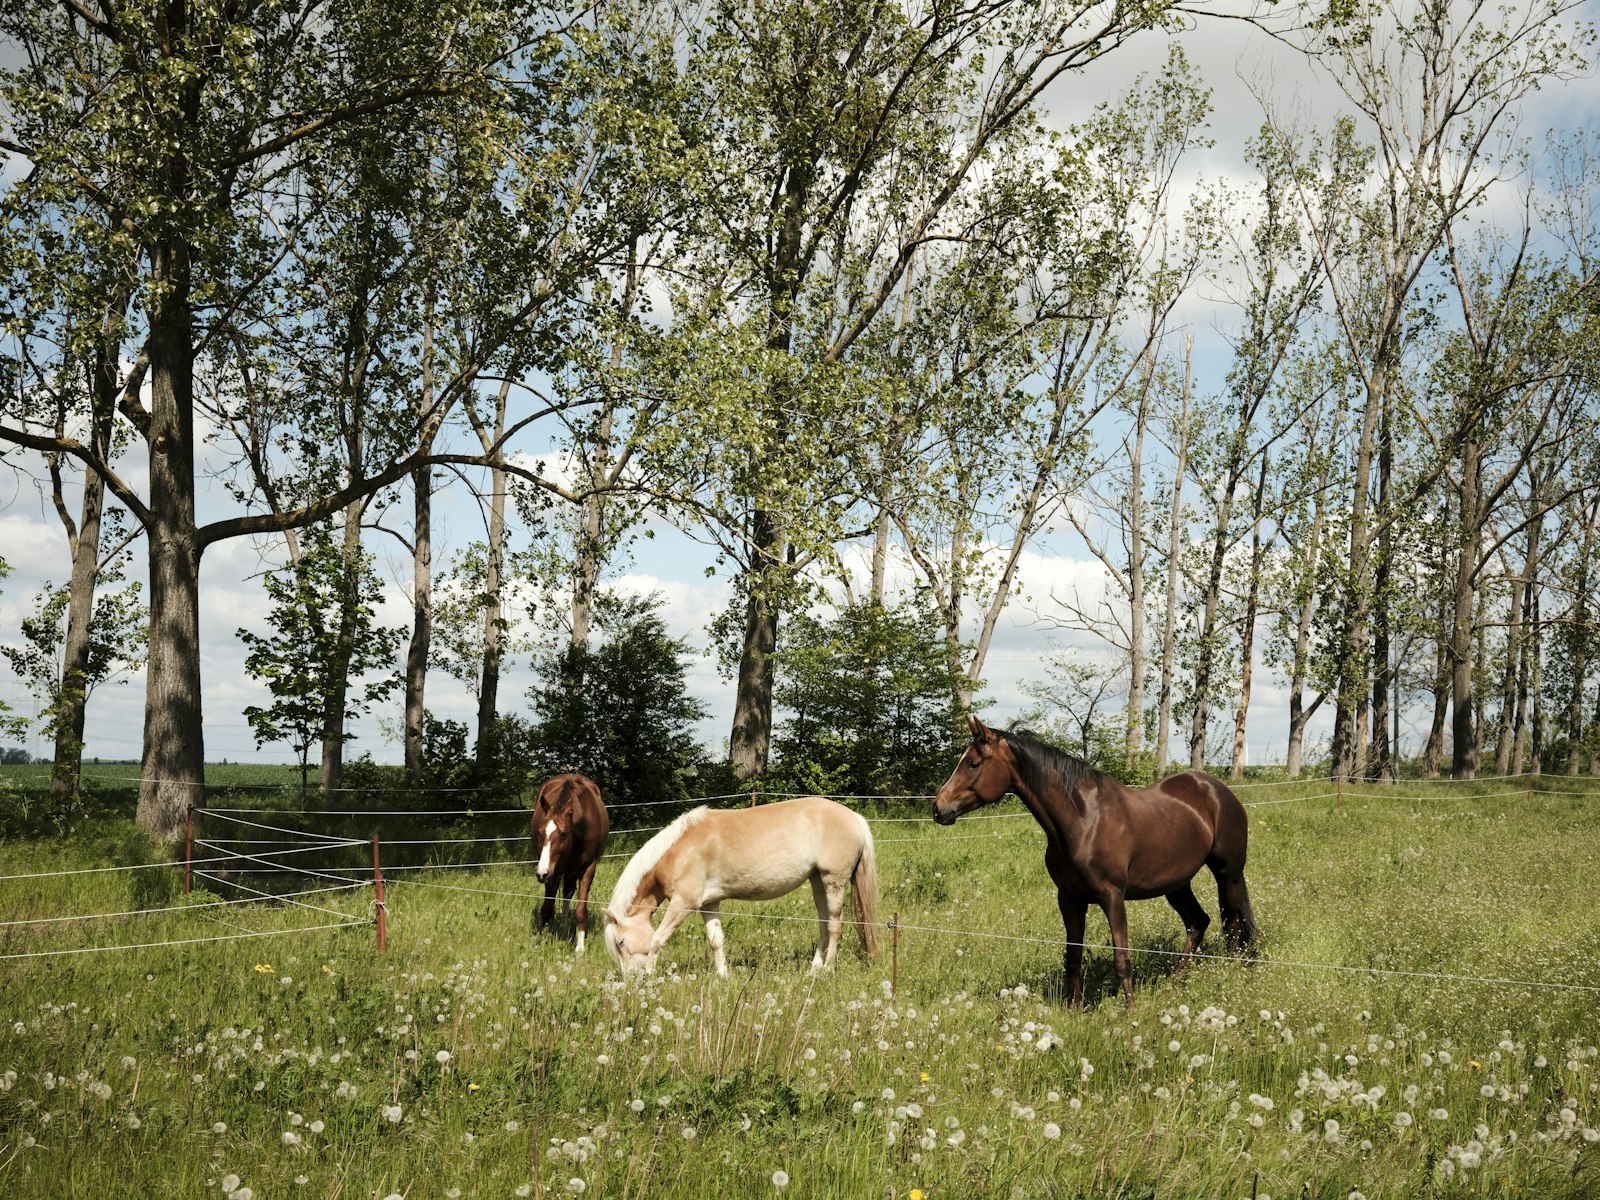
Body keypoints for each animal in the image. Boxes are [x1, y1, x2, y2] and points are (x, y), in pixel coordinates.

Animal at [529, 773, 611, 954]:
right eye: (540, 832)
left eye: (563, 834)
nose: (540, 873)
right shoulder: (553, 872)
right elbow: (547, 908)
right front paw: (543, 940)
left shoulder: (588, 869)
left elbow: (581, 909)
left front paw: (580, 947)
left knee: (568, 892)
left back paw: (565, 925)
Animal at [602, 795, 880, 977]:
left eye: (621, 942)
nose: (631, 979)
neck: (679, 851)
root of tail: (855, 818)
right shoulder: (708, 904)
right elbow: (716, 940)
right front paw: (722, 976)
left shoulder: (684, 903)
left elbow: (657, 940)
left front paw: (650, 977)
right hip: (817, 881)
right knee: (823, 924)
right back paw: (814, 968)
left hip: (834, 881)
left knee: (834, 925)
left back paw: (828, 969)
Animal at [933, 716, 1256, 1008]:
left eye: (973, 763)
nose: (938, 808)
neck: (1084, 820)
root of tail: (1219, 791)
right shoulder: (1069, 899)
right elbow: (1073, 956)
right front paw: (1074, 1009)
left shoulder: (1112, 897)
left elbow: (1121, 958)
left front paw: (1130, 1012)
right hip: (1176, 884)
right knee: (1198, 922)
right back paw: (1175, 982)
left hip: (1227, 875)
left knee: (1233, 926)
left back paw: (1231, 975)